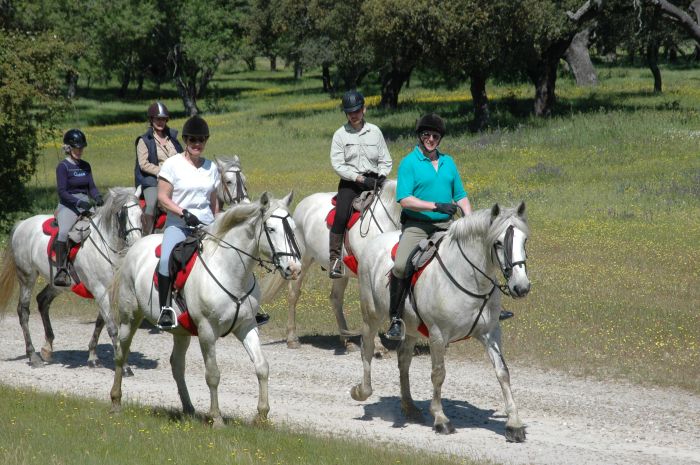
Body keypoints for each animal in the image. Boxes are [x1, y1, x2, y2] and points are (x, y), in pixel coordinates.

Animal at [0, 187, 143, 368]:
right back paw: (33, 355)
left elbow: (101, 322)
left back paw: (47, 348)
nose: (136, 242)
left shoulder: (108, 291)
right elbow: (111, 327)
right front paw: (124, 366)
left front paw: (93, 356)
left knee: (42, 300)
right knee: (23, 311)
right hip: (27, 277)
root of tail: (22, 224)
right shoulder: (99, 290)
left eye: (141, 214)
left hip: (58, 283)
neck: (106, 244)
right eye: (122, 215)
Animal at [110, 191, 302, 424]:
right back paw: (116, 401)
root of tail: (136, 247)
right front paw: (216, 417)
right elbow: (213, 374)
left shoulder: (246, 326)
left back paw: (188, 408)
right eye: (271, 229)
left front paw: (262, 415)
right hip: (130, 317)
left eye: (293, 227)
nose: (294, 268)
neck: (230, 272)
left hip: (180, 331)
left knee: (177, 365)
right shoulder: (207, 331)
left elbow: (262, 366)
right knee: (121, 352)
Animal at [262, 180, 402, 352]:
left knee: (335, 298)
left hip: (341, 273)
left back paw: (347, 340)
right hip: (301, 262)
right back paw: (292, 339)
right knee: (293, 295)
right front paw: (377, 346)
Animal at [350, 203, 532, 442]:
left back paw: (409, 407)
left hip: (411, 328)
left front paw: (514, 424)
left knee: (403, 360)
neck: (468, 277)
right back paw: (362, 391)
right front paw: (441, 419)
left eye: (524, 240)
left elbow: (503, 373)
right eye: (499, 243)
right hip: (371, 315)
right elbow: (438, 374)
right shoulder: (438, 334)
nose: (521, 287)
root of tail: (373, 243)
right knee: (368, 348)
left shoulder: (491, 333)